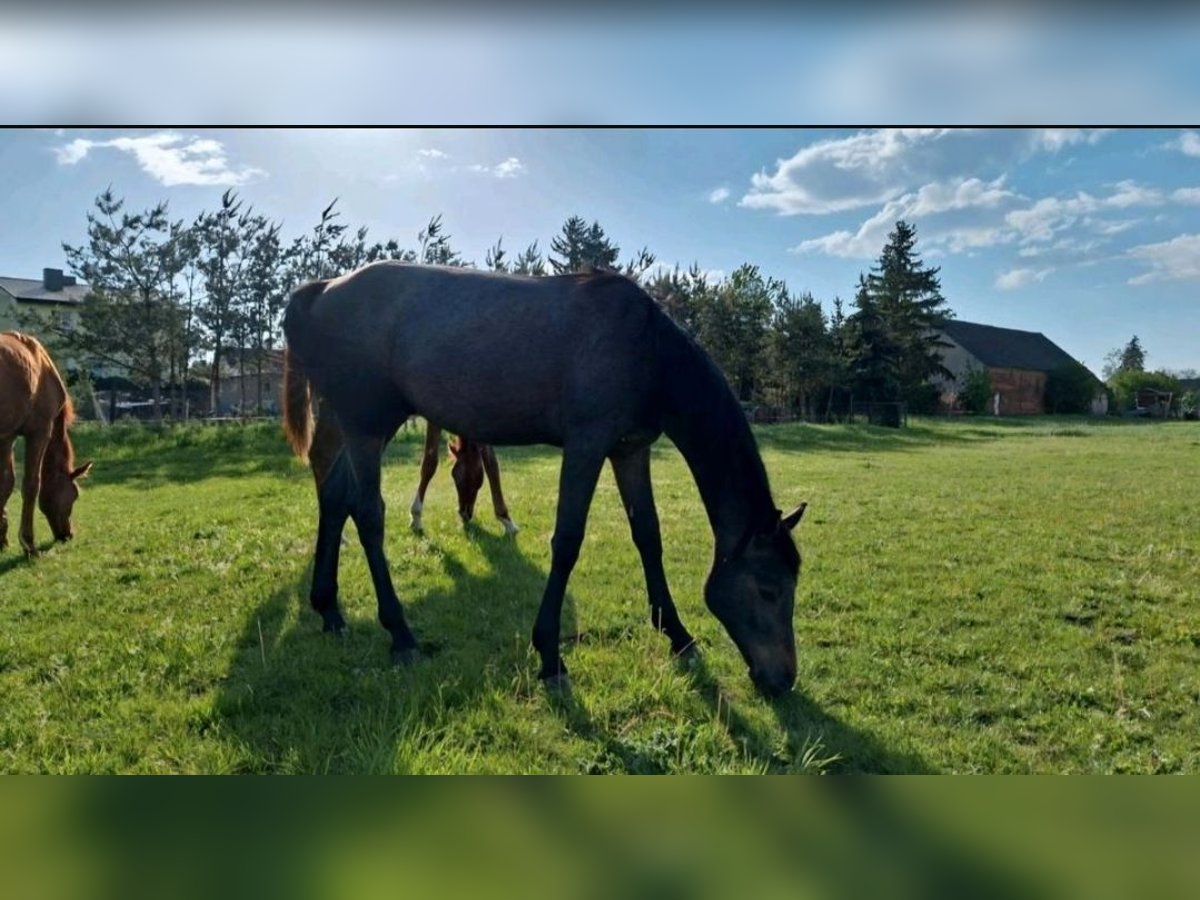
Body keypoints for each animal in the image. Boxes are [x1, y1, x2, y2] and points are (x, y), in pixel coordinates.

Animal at [0, 331, 93, 556]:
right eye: (74, 495)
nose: (67, 534)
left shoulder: (7, 438)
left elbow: (5, 484)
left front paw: (2, 539)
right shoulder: (39, 432)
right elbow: (31, 484)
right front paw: (28, 543)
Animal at [282, 260, 806, 696]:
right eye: (769, 589)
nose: (782, 678)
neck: (647, 350)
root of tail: (320, 289)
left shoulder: (629, 450)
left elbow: (647, 535)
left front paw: (676, 633)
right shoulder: (586, 446)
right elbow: (568, 541)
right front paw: (551, 656)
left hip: (354, 426)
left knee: (335, 496)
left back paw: (329, 609)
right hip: (367, 427)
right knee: (367, 514)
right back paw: (401, 634)